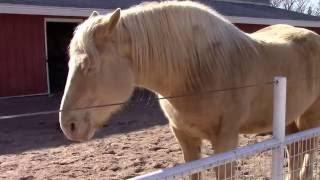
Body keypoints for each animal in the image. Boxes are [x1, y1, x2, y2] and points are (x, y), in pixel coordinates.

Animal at [58, 1, 320, 179]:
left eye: (89, 65)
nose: (69, 125)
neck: (199, 69)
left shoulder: (226, 141)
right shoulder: (185, 138)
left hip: (310, 121)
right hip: (290, 120)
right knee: (296, 152)